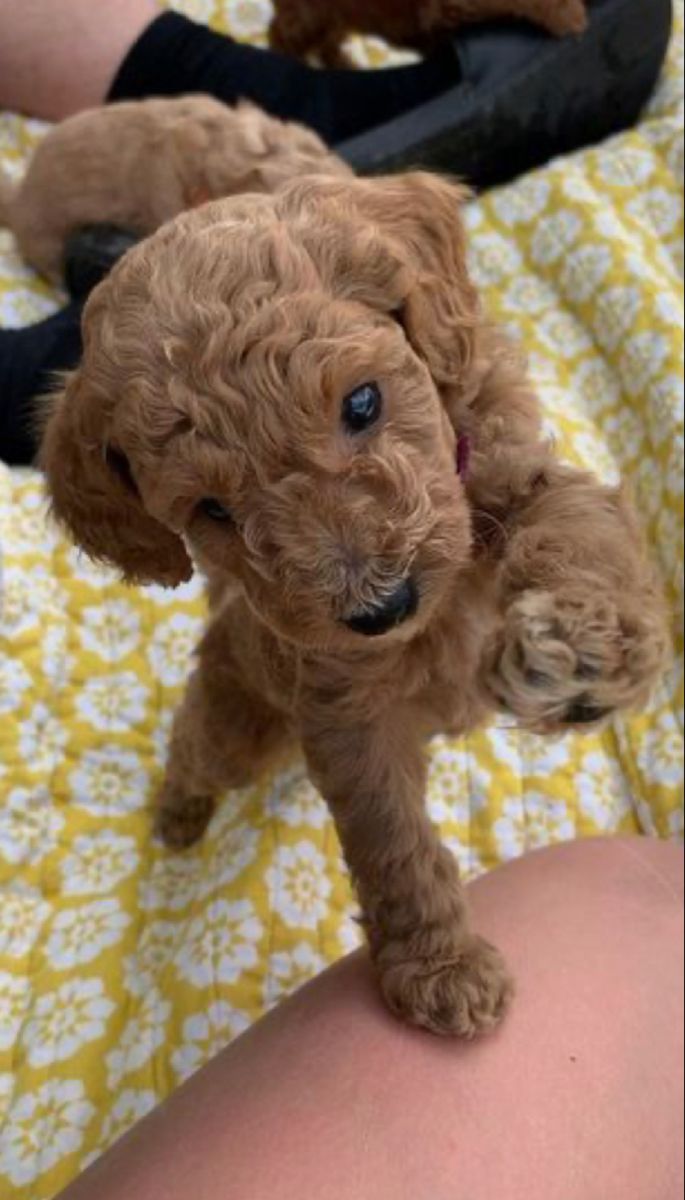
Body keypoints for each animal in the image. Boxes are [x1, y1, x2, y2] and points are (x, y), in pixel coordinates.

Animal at [41, 171, 671, 1041]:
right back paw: (179, 813)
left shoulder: (517, 471)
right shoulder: (346, 710)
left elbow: (581, 529)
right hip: (240, 728)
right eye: (210, 508)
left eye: (363, 403)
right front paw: (439, 967)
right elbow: (391, 838)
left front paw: (578, 654)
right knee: (194, 746)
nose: (383, 606)